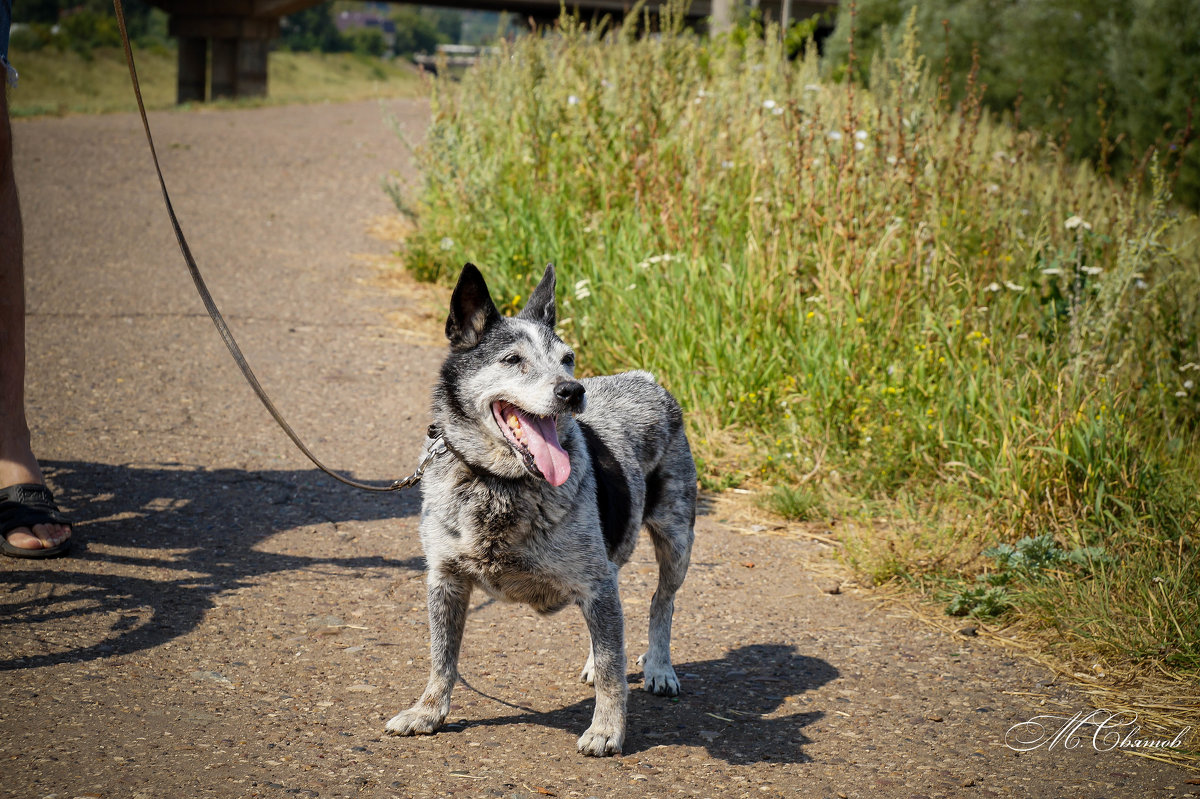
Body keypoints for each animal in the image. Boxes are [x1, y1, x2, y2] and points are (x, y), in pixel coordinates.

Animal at [386, 261, 696, 753]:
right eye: (513, 360)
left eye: (568, 358)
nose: (573, 390)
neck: (499, 483)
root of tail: (646, 379)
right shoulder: (445, 580)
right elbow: (442, 657)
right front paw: (427, 712)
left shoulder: (596, 582)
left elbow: (612, 669)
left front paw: (606, 730)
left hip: (677, 539)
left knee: (659, 602)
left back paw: (660, 668)